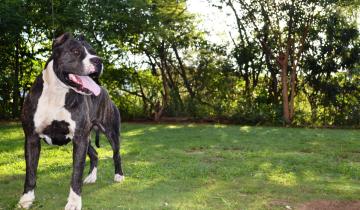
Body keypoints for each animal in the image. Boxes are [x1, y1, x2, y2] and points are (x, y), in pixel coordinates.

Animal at [18, 33, 125, 210]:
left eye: (93, 52)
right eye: (75, 51)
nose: (98, 60)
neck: (57, 92)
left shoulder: (79, 139)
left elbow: (76, 174)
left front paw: (74, 202)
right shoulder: (32, 138)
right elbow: (30, 172)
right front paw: (26, 198)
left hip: (111, 132)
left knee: (116, 154)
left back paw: (119, 175)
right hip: (88, 137)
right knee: (95, 154)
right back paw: (91, 177)